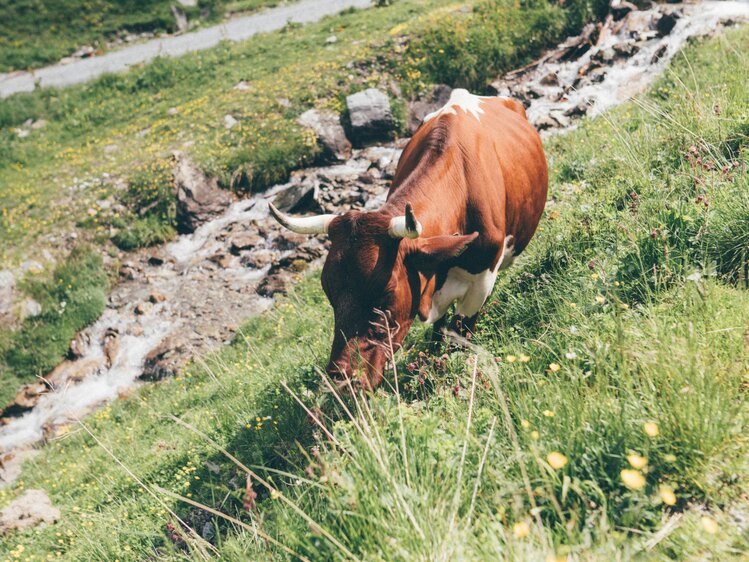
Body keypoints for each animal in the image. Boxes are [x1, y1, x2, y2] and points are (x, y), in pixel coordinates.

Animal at [268, 87, 544, 388]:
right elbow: (440, 330)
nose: (342, 380)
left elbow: (460, 333)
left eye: (386, 293)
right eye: (329, 292)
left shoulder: (481, 281)